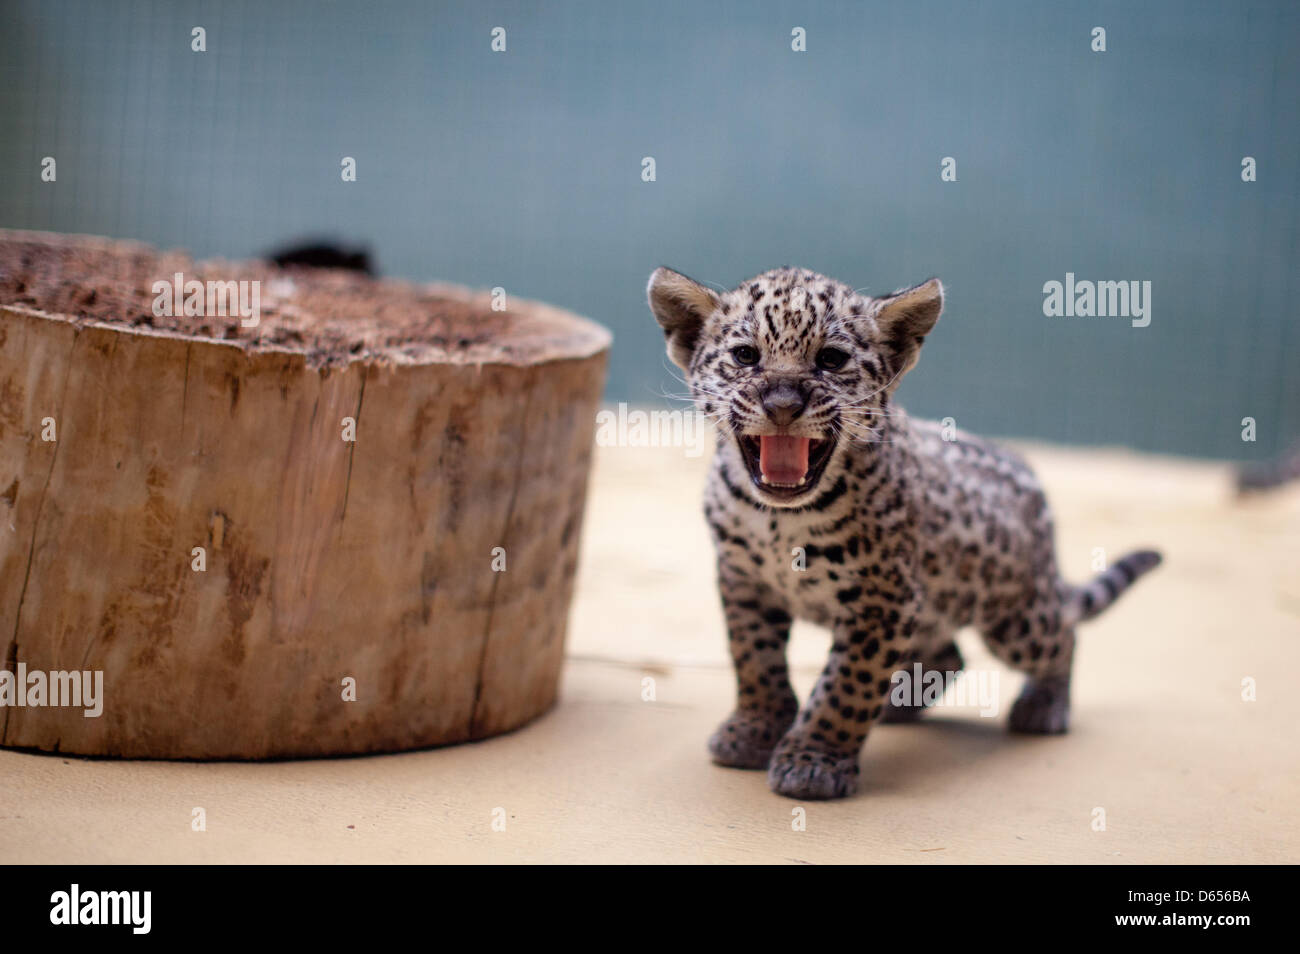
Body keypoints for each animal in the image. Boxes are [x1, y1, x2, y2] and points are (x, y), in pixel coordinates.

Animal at [647, 265, 1163, 800]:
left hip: (1014, 618)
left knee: (1062, 635)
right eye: (746, 356)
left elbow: (846, 685)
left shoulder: (882, 599)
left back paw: (1043, 707)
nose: (783, 405)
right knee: (949, 653)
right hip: (934, 605)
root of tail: (1034, 483)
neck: (778, 519)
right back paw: (899, 701)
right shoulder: (743, 581)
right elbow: (754, 661)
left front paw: (814, 761)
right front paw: (755, 730)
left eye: (831, 359)